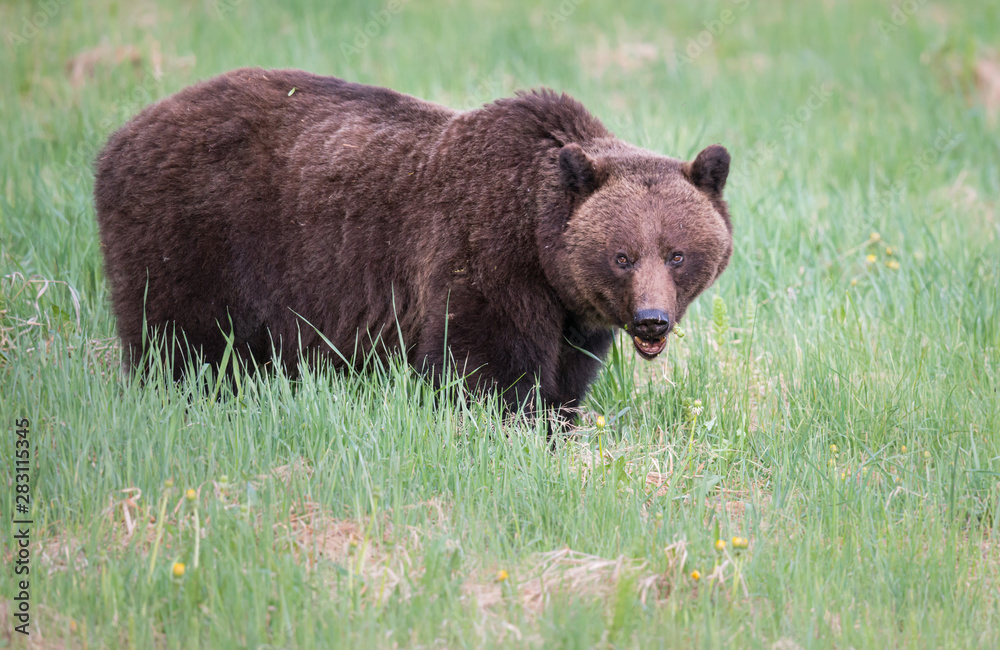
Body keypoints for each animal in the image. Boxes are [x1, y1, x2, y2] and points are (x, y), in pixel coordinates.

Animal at [94, 67, 733, 423]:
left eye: (677, 254)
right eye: (622, 256)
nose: (651, 321)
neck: (538, 240)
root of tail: (119, 135)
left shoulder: (573, 310)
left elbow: (567, 376)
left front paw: (559, 421)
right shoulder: (483, 256)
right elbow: (483, 367)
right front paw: (507, 424)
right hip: (197, 233)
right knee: (178, 341)